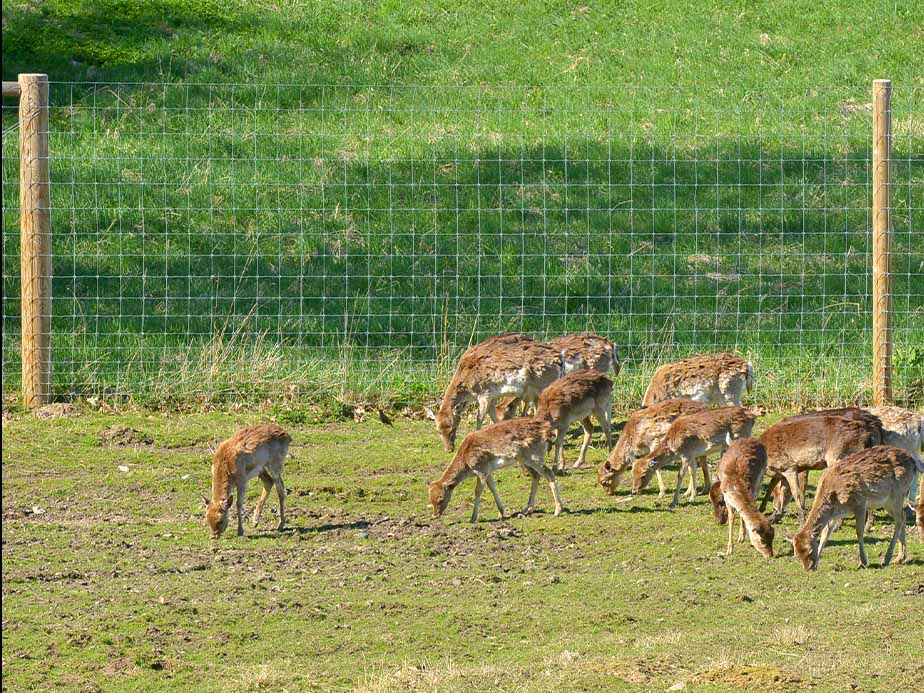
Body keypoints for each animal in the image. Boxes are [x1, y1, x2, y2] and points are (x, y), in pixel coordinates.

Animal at [428, 418, 564, 522]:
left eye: (441, 498)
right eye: (430, 499)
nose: (435, 515)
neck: (466, 463)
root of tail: (546, 430)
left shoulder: (481, 469)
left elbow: (478, 491)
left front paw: (473, 518)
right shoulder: (488, 471)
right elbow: (493, 488)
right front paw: (502, 513)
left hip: (534, 456)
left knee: (549, 473)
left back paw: (557, 510)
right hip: (524, 459)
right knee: (536, 475)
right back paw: (526, 509)